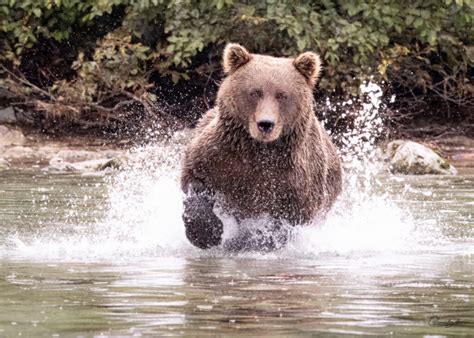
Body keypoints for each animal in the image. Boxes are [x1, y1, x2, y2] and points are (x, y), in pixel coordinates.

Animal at [181, 43, 340, 251]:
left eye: (282, 95)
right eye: (255, 92)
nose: (265, 124)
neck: (259, 150)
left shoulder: (296, 181)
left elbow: (286, 223)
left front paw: (246, 240)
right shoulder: (219, 157)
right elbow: (195, 181)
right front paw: (208, 233)